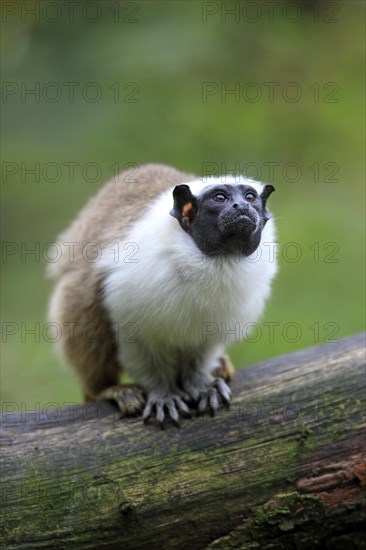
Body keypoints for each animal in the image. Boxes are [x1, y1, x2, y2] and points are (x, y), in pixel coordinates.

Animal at [48, 164, 278, 426]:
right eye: (220, 198)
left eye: (250, 197)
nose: (242, 207)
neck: (217, 261)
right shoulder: (129, 283)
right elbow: (137, 341)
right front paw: (163, 393)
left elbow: (204, 344)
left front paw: (200, 384)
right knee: (84, 302)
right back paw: (104, 389)